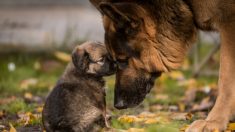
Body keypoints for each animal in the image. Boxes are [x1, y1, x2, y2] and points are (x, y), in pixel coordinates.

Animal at [89, 0, 235, 131]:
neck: (187, 3)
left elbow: (225, 81)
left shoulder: (229, 25)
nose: (117, 105)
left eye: (123, 60)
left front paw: (214, 121)